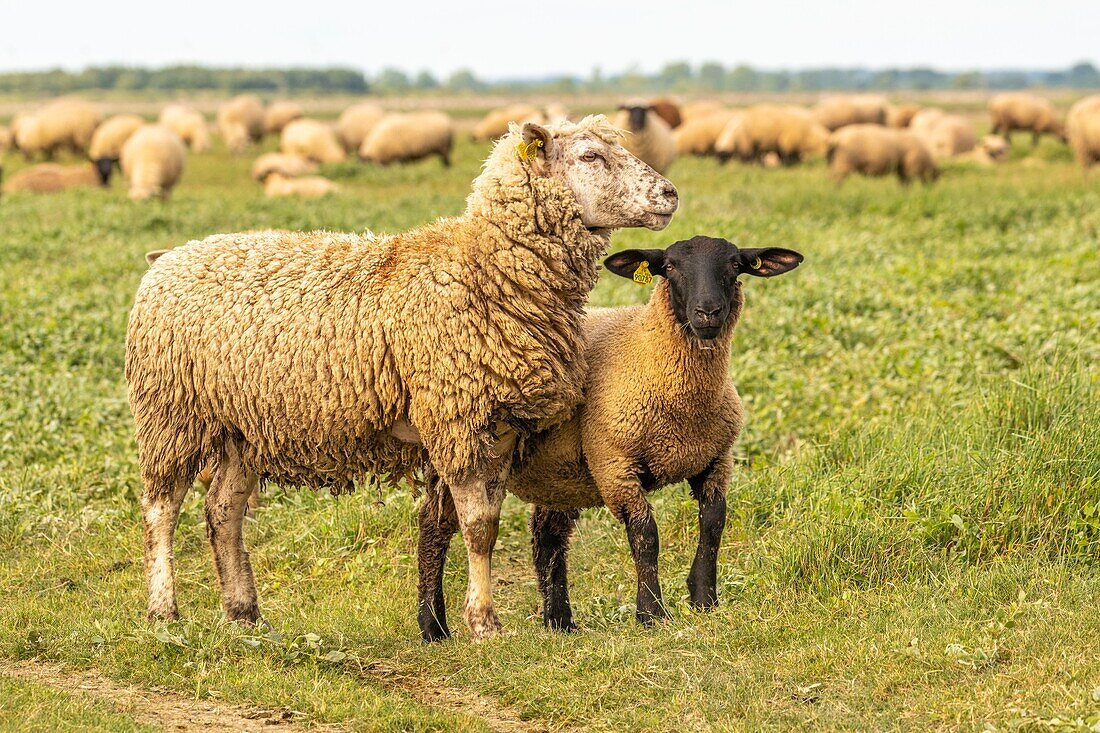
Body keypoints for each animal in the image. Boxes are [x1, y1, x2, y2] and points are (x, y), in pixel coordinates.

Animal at [128, 115, 677, 638]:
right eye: (590, 156)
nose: (670, 194)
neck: (484, 272)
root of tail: (170, 257)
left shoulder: (500, 427)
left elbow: (486, 521)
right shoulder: (456, 419)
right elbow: (478, 528)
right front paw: (484, 622)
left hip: (245, 426)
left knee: (223, 510)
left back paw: (244, 614)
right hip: (169, 412)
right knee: (161, 509)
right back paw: (163, 612)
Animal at [415, 235, 805, 629]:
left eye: (735, 264)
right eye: (671, 266)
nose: (708, 312)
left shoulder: (715, 459)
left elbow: (713, 523)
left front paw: (704, 599)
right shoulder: (614, 464)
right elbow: (645, 535)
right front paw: (650, 613)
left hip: (558, 472)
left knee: (547, 537)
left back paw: (560, 623)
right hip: (455, 448)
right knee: (434, 527)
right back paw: (433, 626)